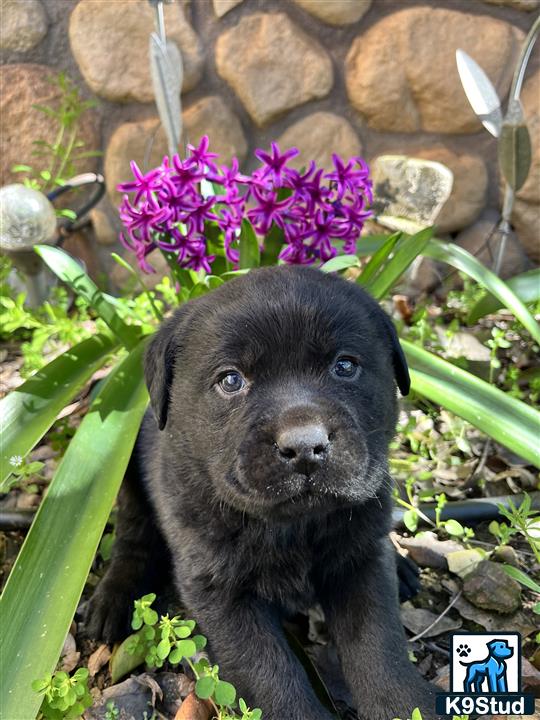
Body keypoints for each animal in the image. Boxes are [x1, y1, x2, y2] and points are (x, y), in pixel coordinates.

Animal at [86, 266, 436, 720]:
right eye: (231, 380)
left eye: (344, 366)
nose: (305, 446)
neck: (292, 527)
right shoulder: (220, 591)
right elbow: (272, 675)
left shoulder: (361, 559)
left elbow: (379, 647)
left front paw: (406, 705)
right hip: (129, 481)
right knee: (133, 539)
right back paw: (113, 600)